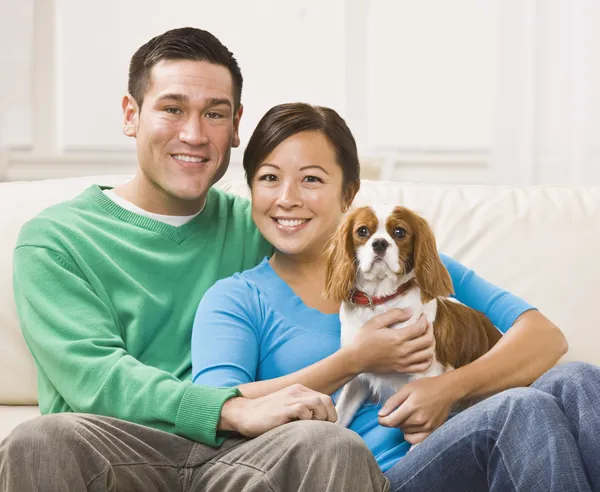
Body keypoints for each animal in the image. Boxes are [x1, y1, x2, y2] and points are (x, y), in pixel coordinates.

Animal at [324, 204, 502, 426]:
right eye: (362, 231)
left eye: (400, 232)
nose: (380, 243)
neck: (381, 300)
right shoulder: (358, 376)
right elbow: (339, 417)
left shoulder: (425, 381)